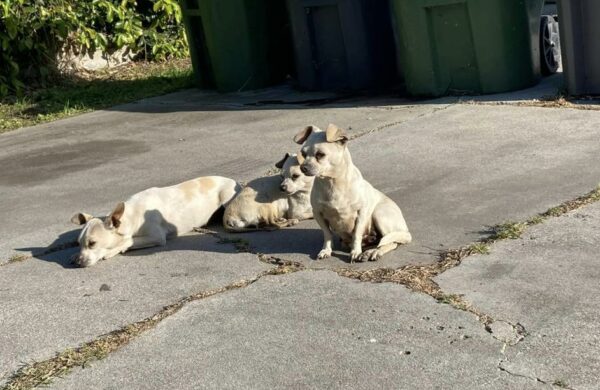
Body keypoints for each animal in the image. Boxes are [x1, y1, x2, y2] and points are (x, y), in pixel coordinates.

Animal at [71, 176, 239, 266]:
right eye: (78, 243)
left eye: (92, 243)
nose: (78, 262)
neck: (132, 215)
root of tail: (234, 181)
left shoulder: (157, 237)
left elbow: (129, 241)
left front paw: (112, 251)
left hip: (226, 198)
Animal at [296, 125, 412, 262]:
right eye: (303, 154)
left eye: (320, 154)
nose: (303, 168)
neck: (333, 183)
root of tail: (405, 230)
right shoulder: (318, 213)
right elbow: (327, 234)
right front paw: (326, 250)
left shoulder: (361, 213)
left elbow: (357, 234)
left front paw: (355, 252)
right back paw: (368, 249)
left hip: (379, 214)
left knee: (390, 242)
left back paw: (374, 252)